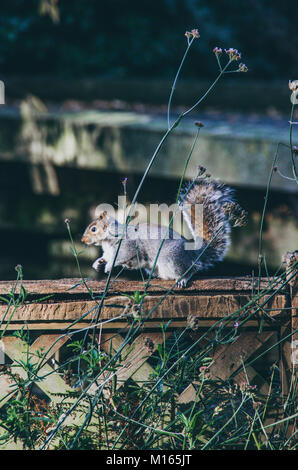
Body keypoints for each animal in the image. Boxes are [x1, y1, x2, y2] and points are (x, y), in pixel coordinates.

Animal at [81, 167, 247, 288]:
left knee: (193, 269)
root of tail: (194, 253)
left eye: (93, 229)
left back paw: (183, 279)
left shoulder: (126, 246)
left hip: (171, 259)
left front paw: (109, 266)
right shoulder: (109, 251)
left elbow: (121, 257)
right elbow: (106, 257)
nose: (83, 240)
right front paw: (98, 263)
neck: (108, 239)